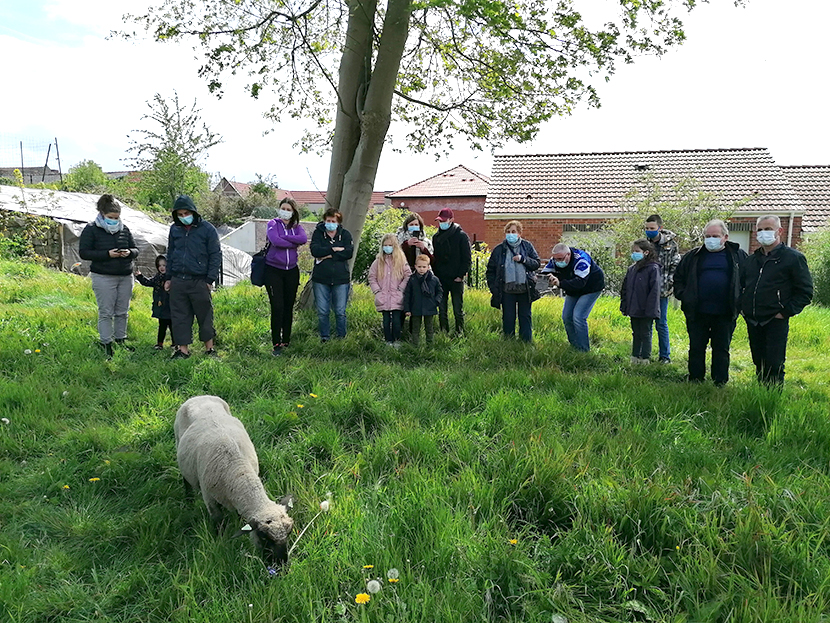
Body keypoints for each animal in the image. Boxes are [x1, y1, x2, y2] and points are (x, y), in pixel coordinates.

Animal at [174, 398, 294, 568]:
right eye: (263, 537)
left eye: (289, 533)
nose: (281, 566)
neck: (238, 471)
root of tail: (199, 396)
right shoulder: (210, 499)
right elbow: (218, 523)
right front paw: (220, 542)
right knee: (186, 480)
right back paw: (189, 499)